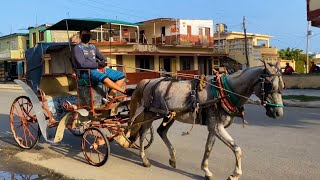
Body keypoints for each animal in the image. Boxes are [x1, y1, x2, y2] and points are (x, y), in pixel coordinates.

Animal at [121, 60, 284, 180]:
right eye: (269, 84)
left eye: (282, 86)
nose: (278, 112)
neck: (224, 92)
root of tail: (149, 81)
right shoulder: (217, 127)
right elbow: (237, 149)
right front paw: (235, 174)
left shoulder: (213, 128)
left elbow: (208, 148)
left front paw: (206, 171)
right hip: (149, 114)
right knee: (143, 133)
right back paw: (144, 159)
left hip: (169, 115)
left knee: (161, 131)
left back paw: (172, 158)